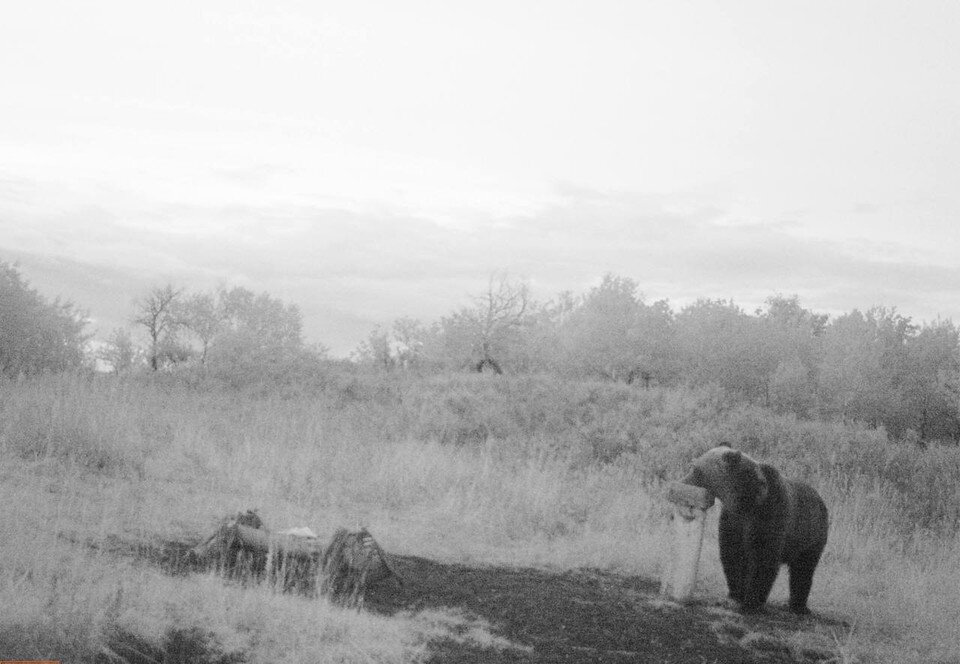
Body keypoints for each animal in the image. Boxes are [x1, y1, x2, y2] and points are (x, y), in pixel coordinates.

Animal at [680, 444, 828, 616]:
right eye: (693, 466)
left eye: (696, 469)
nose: (683, 481)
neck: (746, 502)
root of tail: (820, 499)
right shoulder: (733, 520)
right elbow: (733, 555)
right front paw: (736, 594)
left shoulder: (769, 514)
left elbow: (763, 559)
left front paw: (751, 601)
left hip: (810, 537)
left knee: (803, 570)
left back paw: (800, 606)